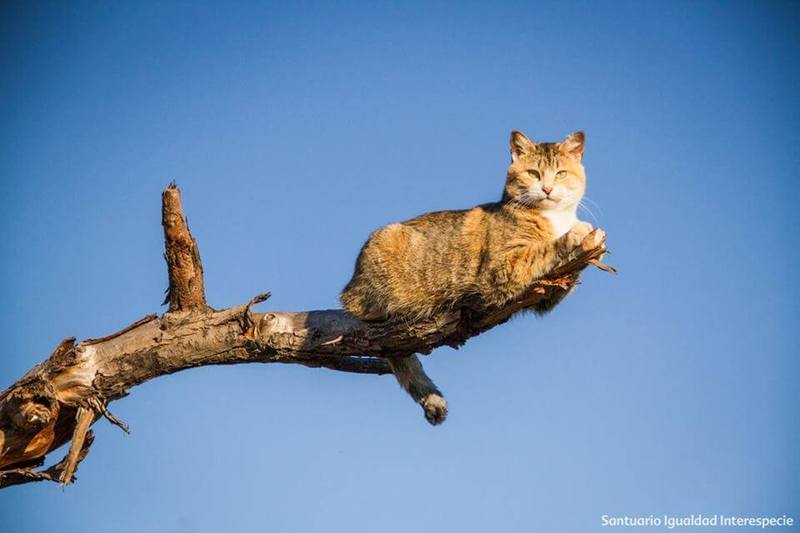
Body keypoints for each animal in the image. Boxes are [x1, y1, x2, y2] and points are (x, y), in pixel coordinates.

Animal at [340, 132, 600, 424]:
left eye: (561, 173)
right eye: (533, 173)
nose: (547, 189)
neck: (554, 218)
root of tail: (348, 288)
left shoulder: (544, 297)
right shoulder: (501, 269)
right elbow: (543, 249)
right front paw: (575, 234)